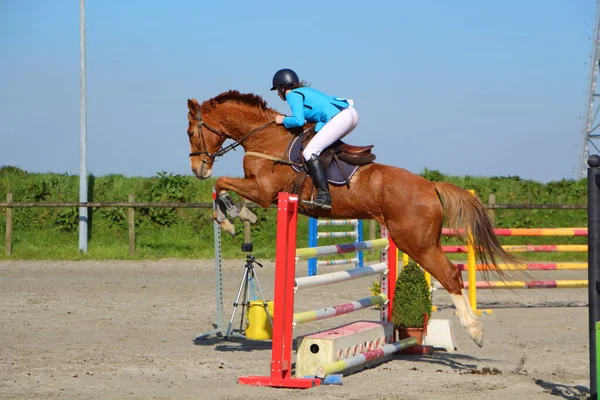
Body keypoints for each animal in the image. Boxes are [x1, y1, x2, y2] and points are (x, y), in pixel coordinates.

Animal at [185, 90, 516, 346]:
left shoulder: (264, 191)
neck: (265, 138)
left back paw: (475, 331)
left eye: (190, 133)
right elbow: (221, 188)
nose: (198, 169)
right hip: (423, 241)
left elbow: (222, 185)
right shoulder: (260, 190)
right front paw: (235, 215)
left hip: (415, 243)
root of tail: (431, 186)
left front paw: (233, 217)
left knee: (450, 275)